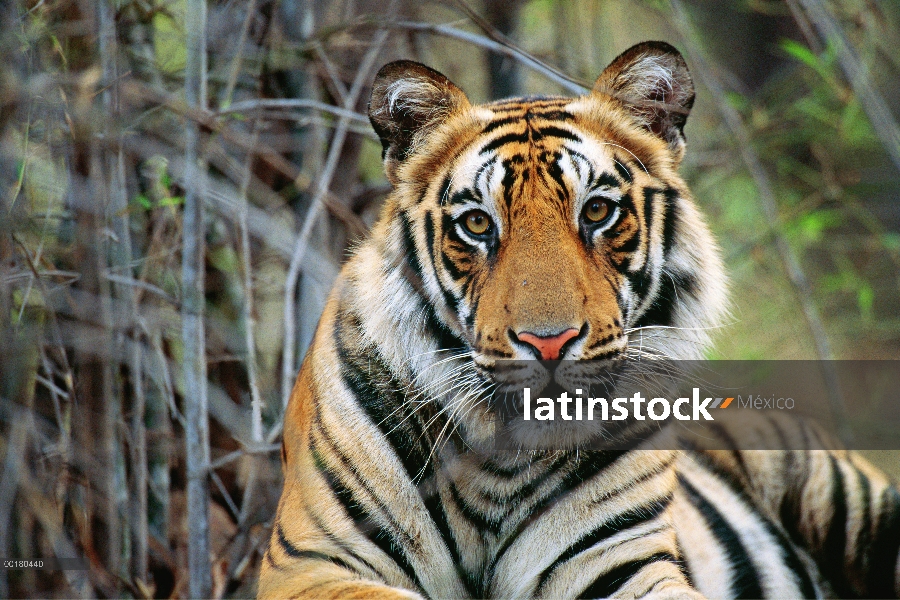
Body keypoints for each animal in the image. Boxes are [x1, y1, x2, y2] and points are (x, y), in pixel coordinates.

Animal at [260, 43, 900, 600]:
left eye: (596, 211)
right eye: (477, 223)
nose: (550, 343)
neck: (499, 465)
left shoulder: (618, 562)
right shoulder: (311, 563)